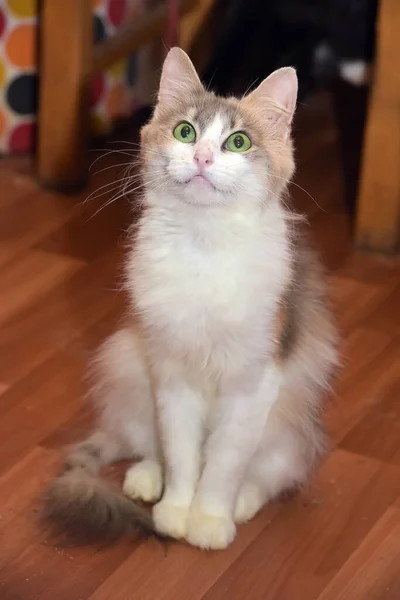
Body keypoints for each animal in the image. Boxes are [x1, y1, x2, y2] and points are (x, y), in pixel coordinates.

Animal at [43, 49, 338, 552]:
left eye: (238, 142)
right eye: (185, 132)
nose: (201, 156)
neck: (205, 244)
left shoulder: (252, 383)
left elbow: (223, 464)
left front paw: (210, 519)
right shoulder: (170, 375)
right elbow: (181, 455)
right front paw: (177, 511)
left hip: (291, 421)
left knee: (271, 474)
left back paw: (243, 502)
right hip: (127, 362)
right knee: (146, 445)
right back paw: (146, 479)